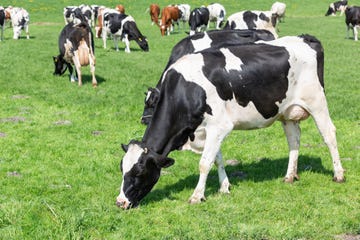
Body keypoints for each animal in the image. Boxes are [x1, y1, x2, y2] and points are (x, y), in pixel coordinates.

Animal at [116, 34, 346, 210]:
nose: (120, 202)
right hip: (287, 112)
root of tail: (306, 38)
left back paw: (338, 175)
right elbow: (217, 158)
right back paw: (290, 176)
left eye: (139, 172)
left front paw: (197, 196)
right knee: (294, 140)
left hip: (317, 102)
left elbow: (204, 163)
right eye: (122, 168)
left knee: (329, 135)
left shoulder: (219, 126)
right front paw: (224, 187)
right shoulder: (210, 130)